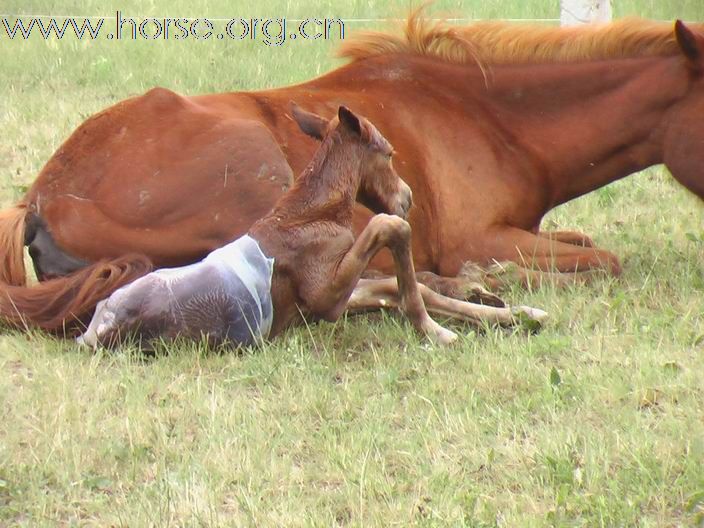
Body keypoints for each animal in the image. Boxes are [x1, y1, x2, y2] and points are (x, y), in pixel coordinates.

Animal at [80, 105, 456, 348]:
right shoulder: (326, 299)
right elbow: (388, 226)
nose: (407, 197)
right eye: (389, 153)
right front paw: (434, 330)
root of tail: (95, 330)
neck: (312, 213)